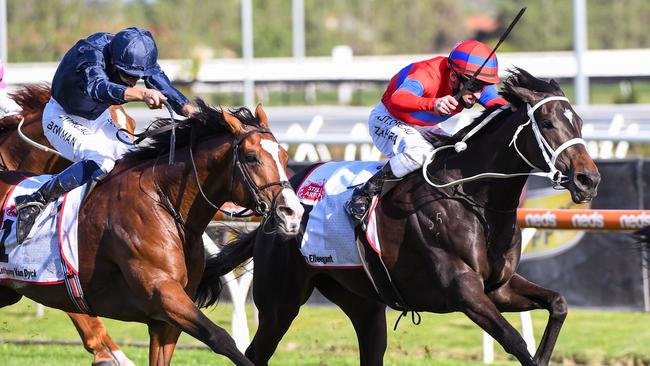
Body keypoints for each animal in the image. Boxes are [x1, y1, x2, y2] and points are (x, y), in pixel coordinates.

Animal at [200, 69, 600, 366]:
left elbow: (559, 304)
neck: (470, 198)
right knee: (255, 352)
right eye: (547, 123)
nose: (588, 179)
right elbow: (516, 342)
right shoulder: (464, 291)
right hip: (280, 303)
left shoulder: (498, 288)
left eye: (579, 122)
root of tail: (278, 207)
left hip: (362, 302)